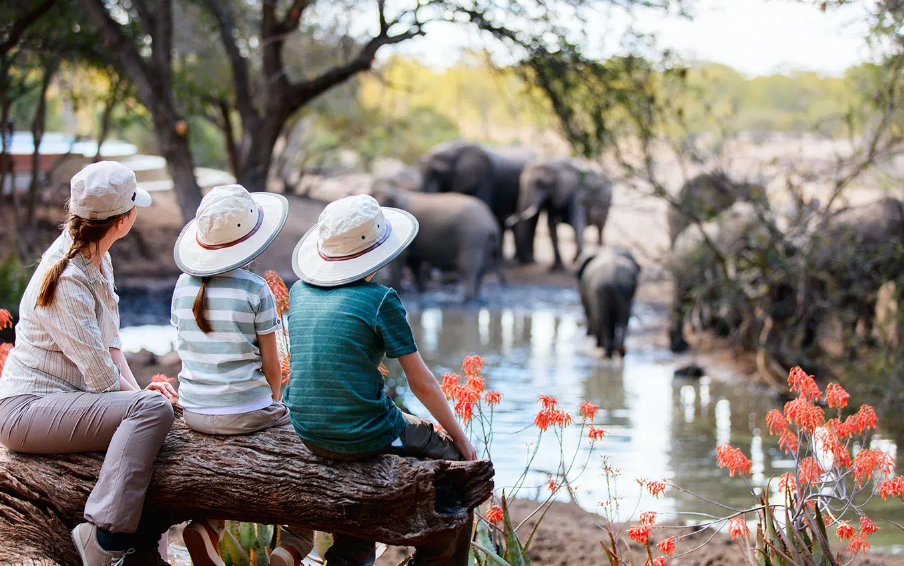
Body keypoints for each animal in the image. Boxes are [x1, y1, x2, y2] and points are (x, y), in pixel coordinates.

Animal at [370, 176, 504, 302]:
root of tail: (491, 223)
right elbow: (414, 262)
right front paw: (421, 291)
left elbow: (401, 261)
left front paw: (401, 291)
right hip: (484, 241)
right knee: (482, 268)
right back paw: (476, 297)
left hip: (472, 237)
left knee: (469, 267)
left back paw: (467, 299)